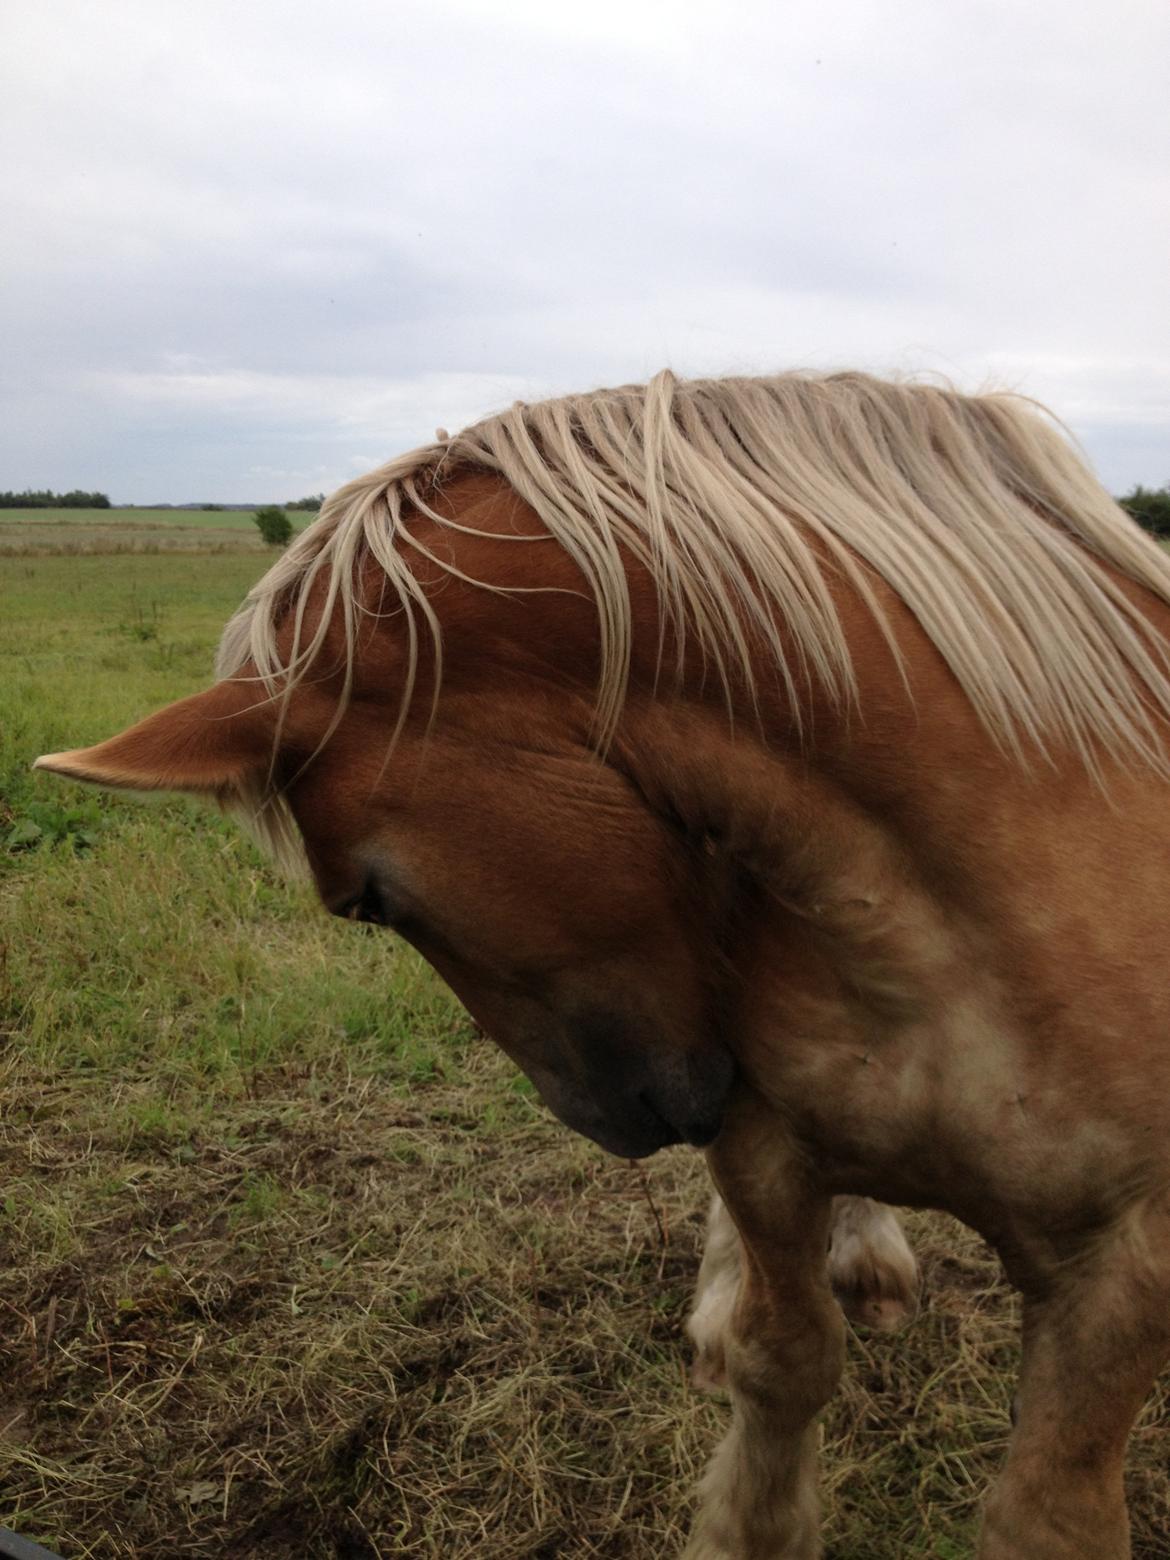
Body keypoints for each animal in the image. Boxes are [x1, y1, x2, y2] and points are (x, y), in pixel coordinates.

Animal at [31, 371, 1170, 1553]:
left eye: (366, 900)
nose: (616, 1119)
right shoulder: (763, 1148)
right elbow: (782, 1359)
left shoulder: (1127, 1272)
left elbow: (1051, 1509)